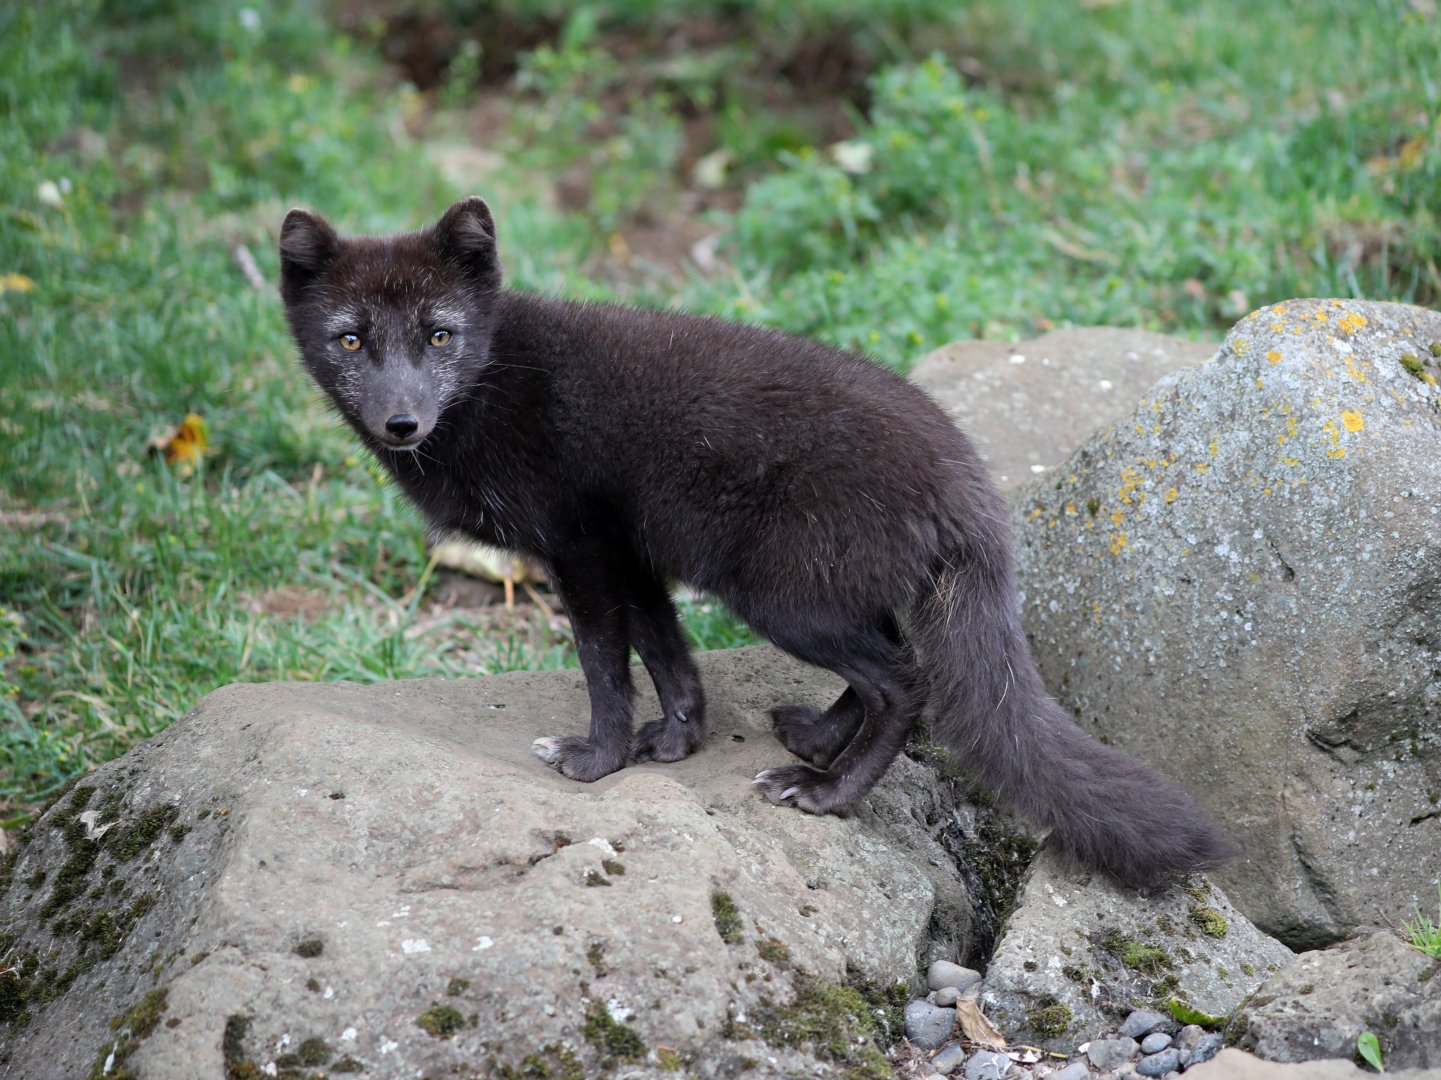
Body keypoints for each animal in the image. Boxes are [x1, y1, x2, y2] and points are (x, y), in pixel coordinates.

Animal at [278, 196, 1235, 889]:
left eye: (440, 334)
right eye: (351, 339)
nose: (401, 421)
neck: (498, 382)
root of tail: (968, 483)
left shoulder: (580, 547)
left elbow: (604, 665)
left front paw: (595, 760)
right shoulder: (632, 553)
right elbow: (668, 655)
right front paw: (676, 743)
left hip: (777, 594)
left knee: (905, 680)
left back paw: (825, 791)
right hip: (824, 589)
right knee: (888, 666)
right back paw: (811, 740)